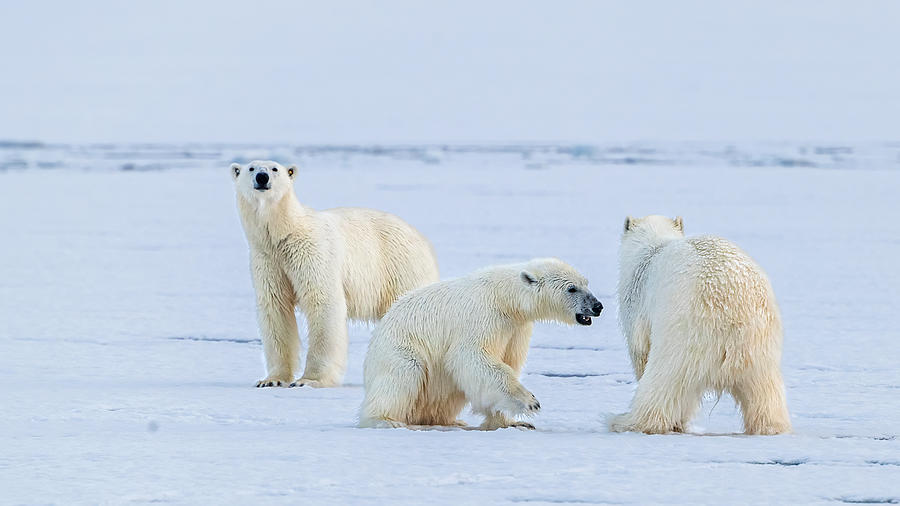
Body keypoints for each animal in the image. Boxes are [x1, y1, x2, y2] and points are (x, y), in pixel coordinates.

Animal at [232, 160, 440, 390]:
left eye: (275, 169)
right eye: (251, 168)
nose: (262, 177)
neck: (283, 234)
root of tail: (423, 240)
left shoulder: (312, 252)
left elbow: (322, 302)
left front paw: (309, 380)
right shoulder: (267, 260)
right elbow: (275, 308)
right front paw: (271, 380)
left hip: (400, 267)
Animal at [358, 258, 604, 428]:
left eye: (586, 283)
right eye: (571, 288)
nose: (598, 306)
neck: (506, 299)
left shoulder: (516, 329)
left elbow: (504, 363)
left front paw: (515, 422)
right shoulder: (483, 317)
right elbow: (474, 357)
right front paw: (529, 402)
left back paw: (450, 420)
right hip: (401, 349)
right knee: (403, 374)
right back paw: (385, 419)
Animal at [608, 214, 792, 434]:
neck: (653, 246)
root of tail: (733, 312)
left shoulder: (636, 302)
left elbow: (640, 351)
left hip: (683, 331)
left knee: (664, 379)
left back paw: (626, 421)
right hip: (760, 343)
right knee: (765, 391)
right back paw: (771, 427)